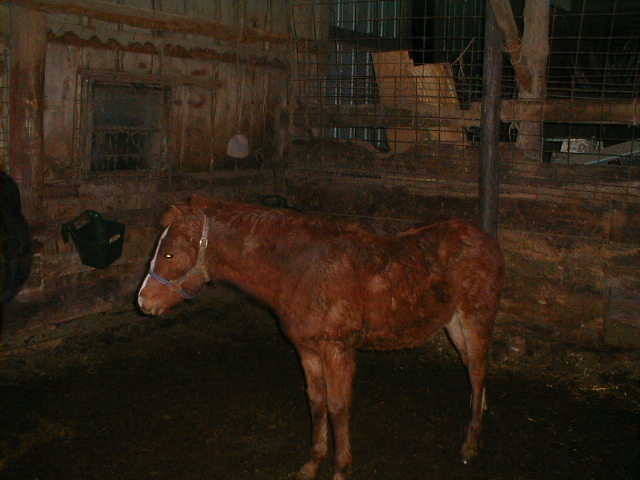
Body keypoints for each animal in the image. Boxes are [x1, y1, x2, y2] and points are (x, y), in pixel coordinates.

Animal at [137, 194, 505, 480]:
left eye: (169, 254)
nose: (143, 302)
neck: (302, 271)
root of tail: (486, 239)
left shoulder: (338, 349)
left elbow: (338, 407)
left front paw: (341, 468)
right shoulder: (308, 350)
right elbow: (316, 403)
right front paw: (311, 465)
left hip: (475, 319)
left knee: (478, 371)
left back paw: (470, 445)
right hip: (454, 325)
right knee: (473, 372)